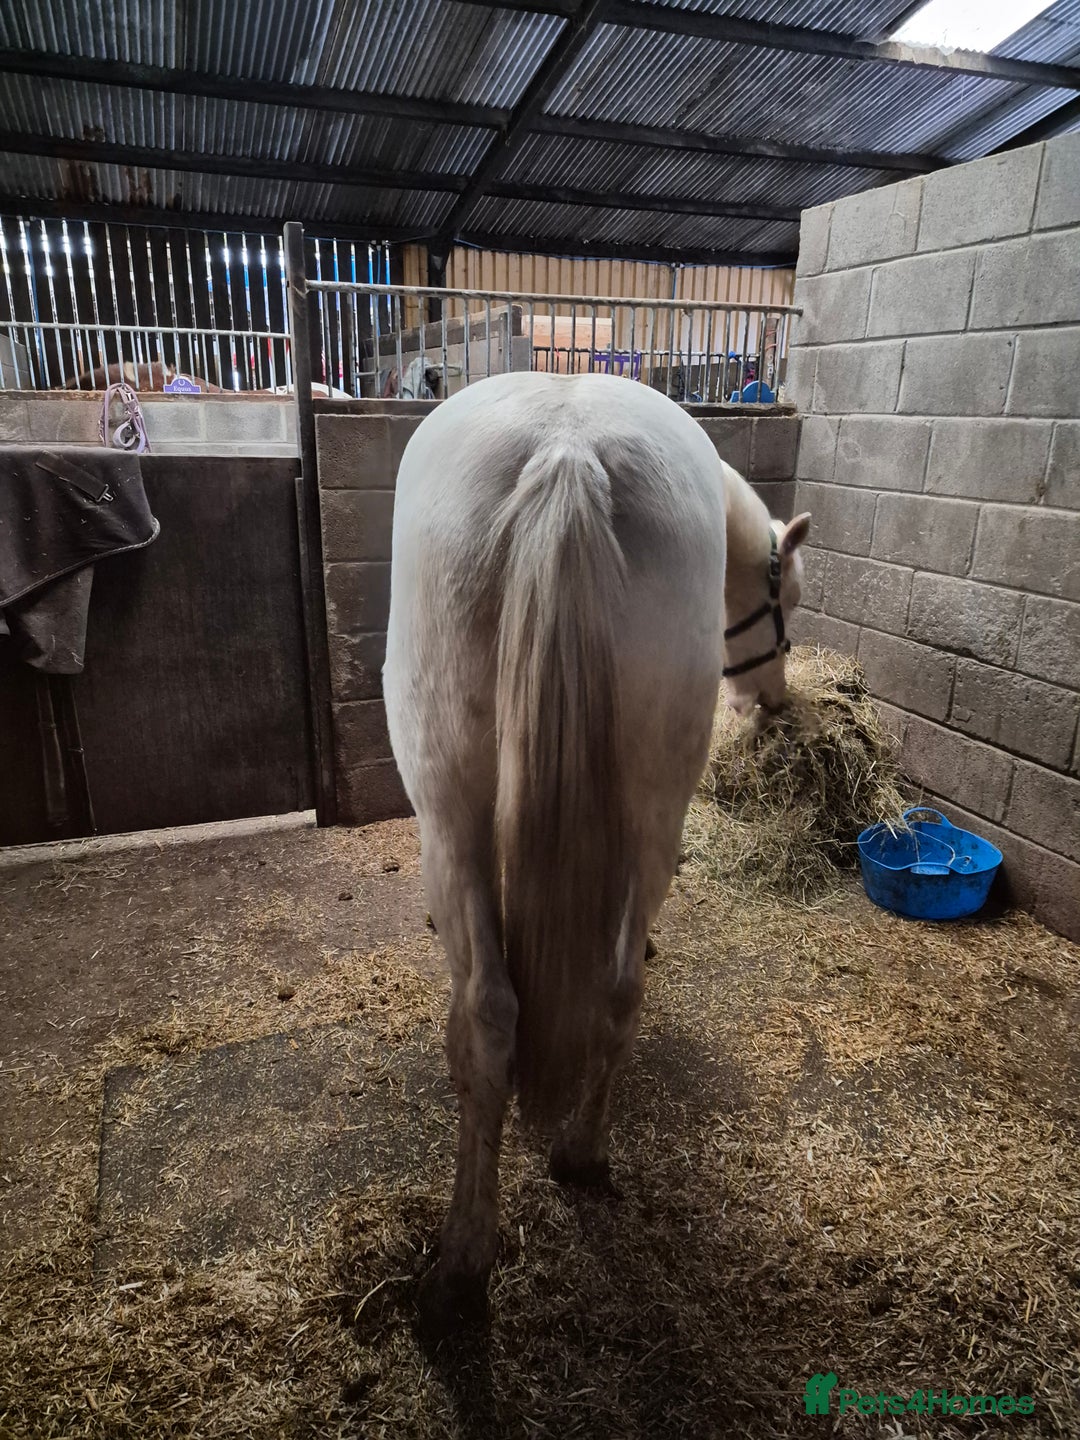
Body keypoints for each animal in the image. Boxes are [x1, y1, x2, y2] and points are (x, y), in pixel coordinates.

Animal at [383, 370, 809, 1331]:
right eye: (788, 597)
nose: (774, 700)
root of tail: (568, 451)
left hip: (449, 807)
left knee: (488, 1012)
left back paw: (461, 1268)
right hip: (657, 800)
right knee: (615, 992)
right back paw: (578, 1156)